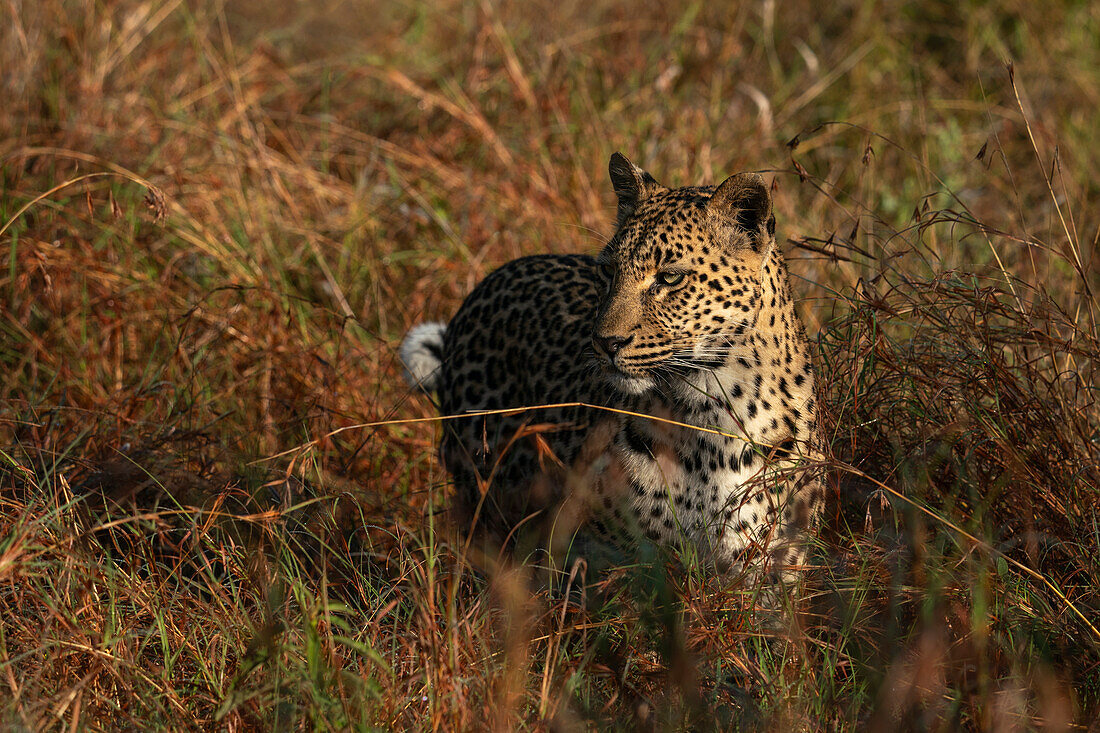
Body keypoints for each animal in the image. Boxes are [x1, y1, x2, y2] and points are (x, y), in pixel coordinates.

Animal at [400, 152, 822, 581]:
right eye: (608, 271)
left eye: (670, 277)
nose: (605, 342)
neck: (710, 415)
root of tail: (492, 279)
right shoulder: (610, 560)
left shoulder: (773, 565)